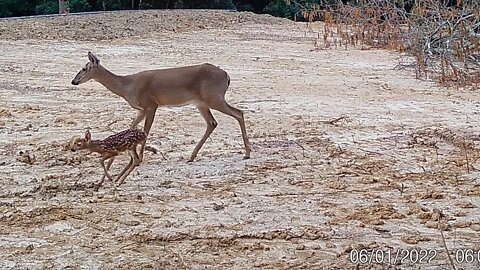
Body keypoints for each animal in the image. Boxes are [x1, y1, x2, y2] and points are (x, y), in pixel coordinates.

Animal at [72, 51, 251, 161]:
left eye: (84, 68)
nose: (74, 81)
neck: (127, 86)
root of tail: (227, 76)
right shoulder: (142, 109)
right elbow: (132, 127)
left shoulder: (151, 104)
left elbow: (145, 130)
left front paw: (142, 156)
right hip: (201, 102)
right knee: (212, 123)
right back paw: (191, 156)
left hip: (214, 97)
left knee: (239, 113)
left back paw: (247, 153)